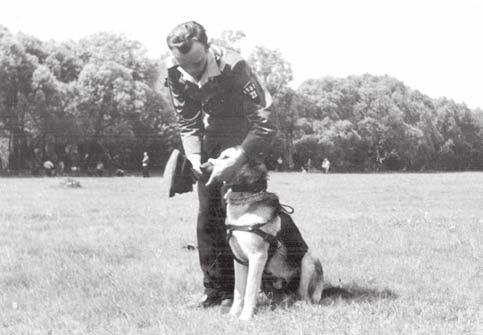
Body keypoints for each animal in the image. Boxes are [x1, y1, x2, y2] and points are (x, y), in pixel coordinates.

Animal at [205, 148, 326, 322]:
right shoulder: (239, 259)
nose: (201, 166)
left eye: (226, 157)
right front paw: (233, 314)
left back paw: (299, 303)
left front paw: (245, 317)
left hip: (309, 260)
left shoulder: (257, 257)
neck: (244, 204)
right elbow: (238, 292)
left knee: (306, 297)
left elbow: (249, 290)